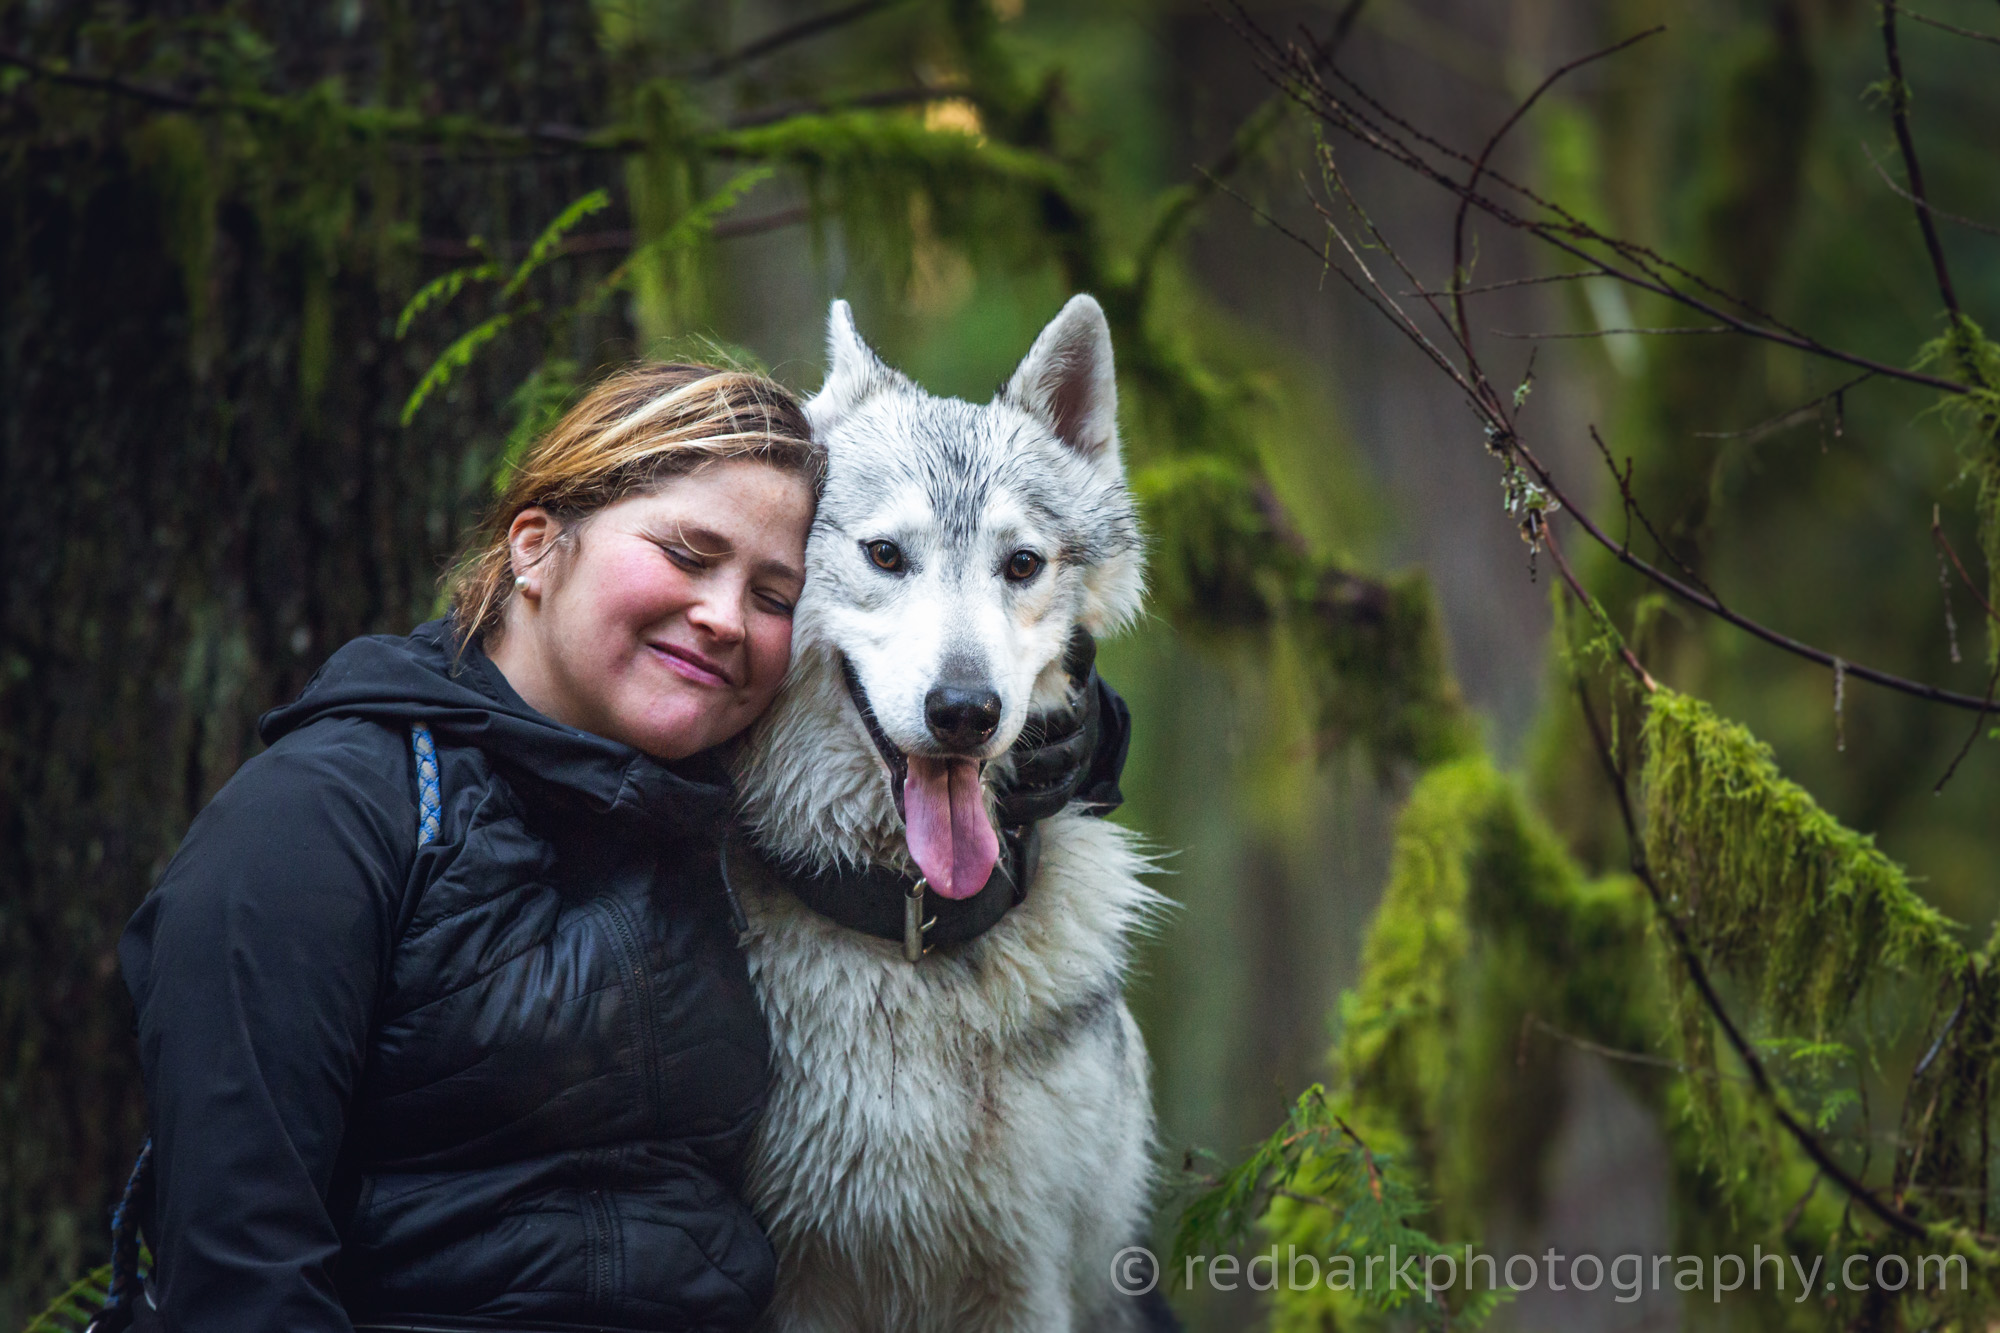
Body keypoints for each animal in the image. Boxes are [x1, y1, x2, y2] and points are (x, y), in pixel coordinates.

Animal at [732, 296, 1168, 1320]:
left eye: (1022, 563)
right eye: (887, 554)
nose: (965, 710)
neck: (913, 934)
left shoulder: (1029, 1275)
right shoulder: (801, 1278)